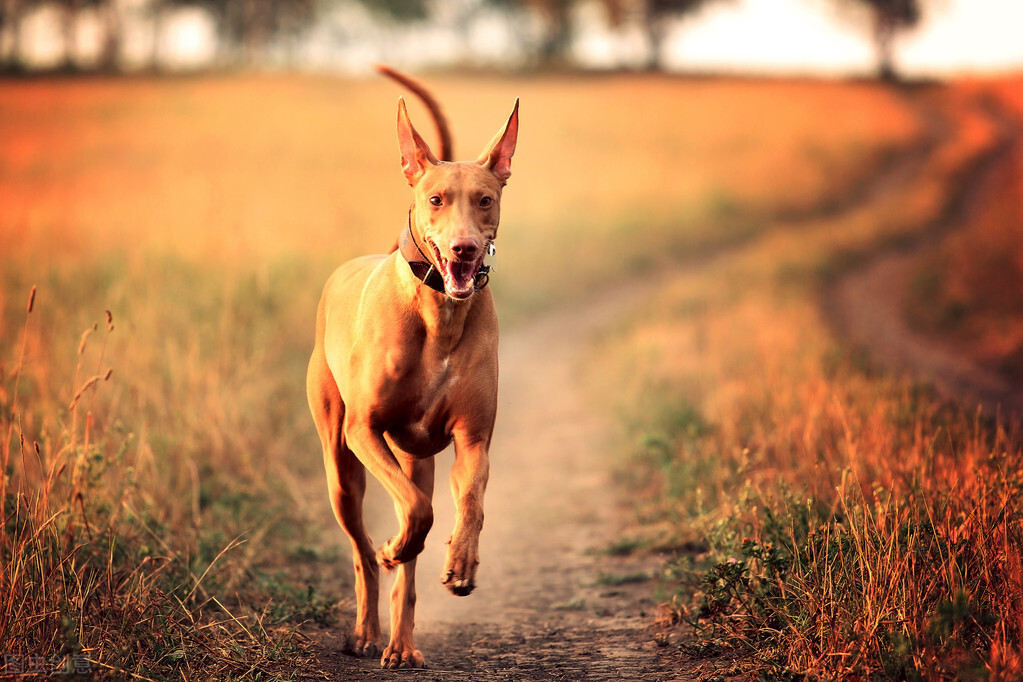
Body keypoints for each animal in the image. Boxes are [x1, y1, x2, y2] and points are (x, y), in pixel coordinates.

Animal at [300, 67, 511, 666]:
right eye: (435, 199)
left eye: (484, 200)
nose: (464, 250)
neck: (439, 314)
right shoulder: (364, 430)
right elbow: (415, 514)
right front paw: (396, 547)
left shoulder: (472, 441)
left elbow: (469, 504)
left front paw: (461, 564)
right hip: (341, 469)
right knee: (363, 551)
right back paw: (367, 630)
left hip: (417, 458)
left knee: (411, 544)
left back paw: (400, 643)